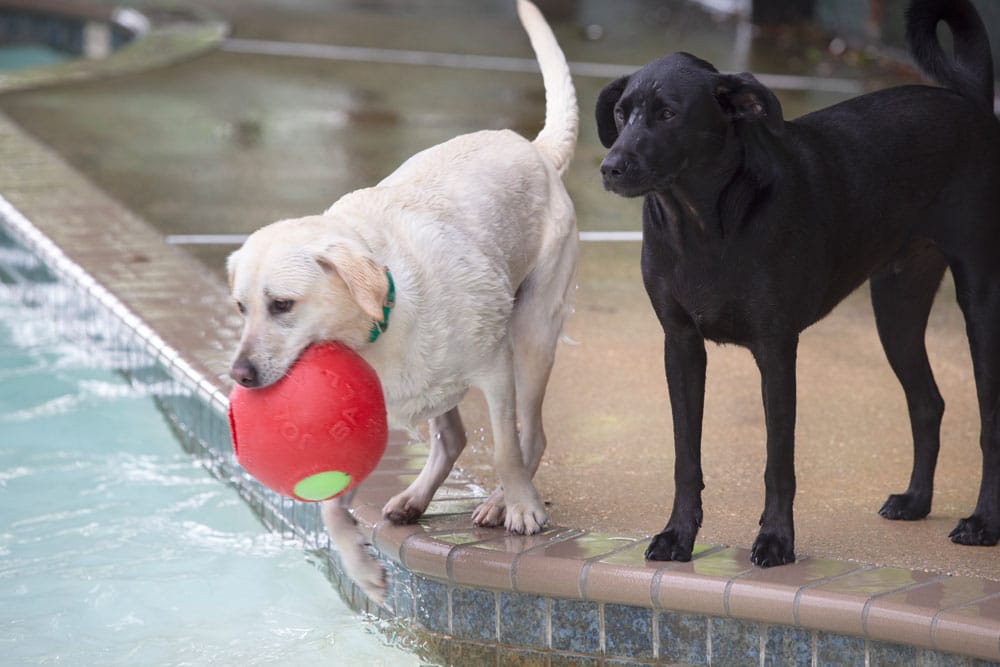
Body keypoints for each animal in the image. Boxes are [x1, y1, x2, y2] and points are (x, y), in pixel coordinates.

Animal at [596, 0, 996, 568]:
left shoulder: (776, 350)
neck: (704, 223)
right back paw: (917, 501)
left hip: (980, 301)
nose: (609, 167)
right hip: (896, 307)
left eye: (668, 114)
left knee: (988, 421)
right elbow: (685, 457)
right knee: (927, 402)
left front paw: (776, 540)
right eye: (621, 113)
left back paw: (984, 523)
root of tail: (972, 103)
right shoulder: (681, 344)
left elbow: (777, 461)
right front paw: (678, 535)